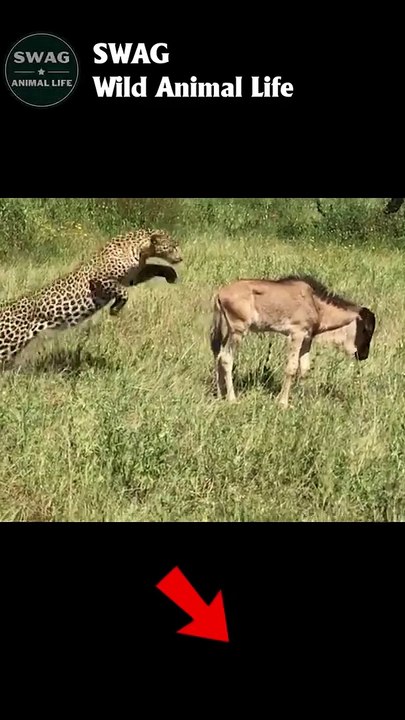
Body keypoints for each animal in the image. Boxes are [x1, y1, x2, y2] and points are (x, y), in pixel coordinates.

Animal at [0, 227, 182, 367]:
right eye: (172, 247)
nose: (181, 257)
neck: (141, 249)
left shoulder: (133, 276)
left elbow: (155, 267)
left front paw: (171, 274)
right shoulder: (100, 279)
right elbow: (123, 292)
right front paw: (115, 308)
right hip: (9, 342)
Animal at [210, 275, 376, 408]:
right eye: (366, 330)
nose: (364, 355)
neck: (315, 304)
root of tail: (220, 293)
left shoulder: (307, 338)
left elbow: (304, 369)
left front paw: (300, 398)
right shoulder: (296, 334)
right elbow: (291, 367)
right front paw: (283, 402)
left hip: (227, 331)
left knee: (218, 354)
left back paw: (220, 394)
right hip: (238, 331)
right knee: (226, 358)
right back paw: (232, 398)